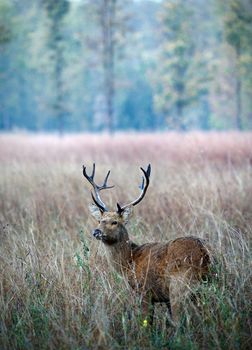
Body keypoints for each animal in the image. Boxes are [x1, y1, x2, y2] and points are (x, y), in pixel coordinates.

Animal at [83, 163, 214, 326]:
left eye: (115, 222)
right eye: (100, 220)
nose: (97, 231)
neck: (129, 262)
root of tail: (204, 254)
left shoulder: (144, 291)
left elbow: (146, 323)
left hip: (179, 286)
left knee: (180, 320)